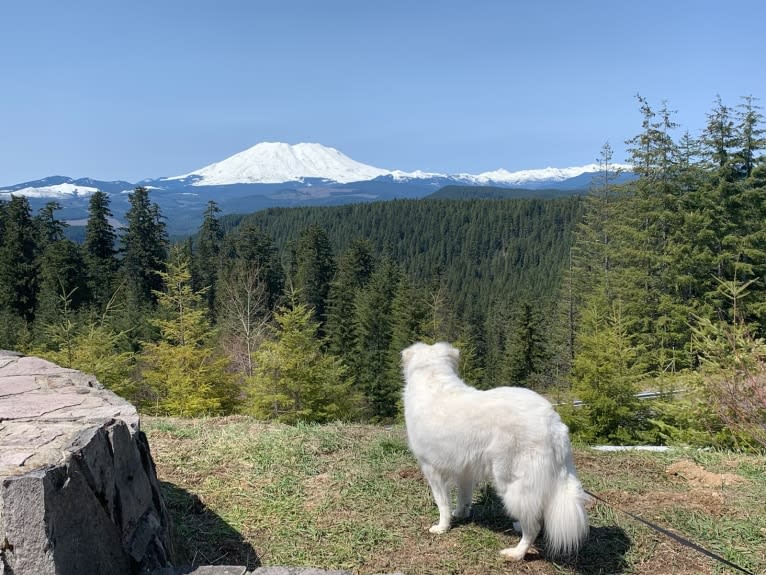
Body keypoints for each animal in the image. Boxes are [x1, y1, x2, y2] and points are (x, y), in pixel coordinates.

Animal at [404, 344, 592, 560]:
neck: (432, 377)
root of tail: (552, 421)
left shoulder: (432, 470)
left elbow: (442, 504)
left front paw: (442, 527)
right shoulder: (464, 471)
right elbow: (463, 498)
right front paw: (460, 514)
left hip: (513, 483)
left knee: (533, 526)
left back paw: (516, 553)